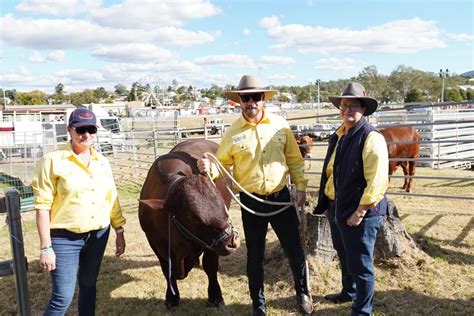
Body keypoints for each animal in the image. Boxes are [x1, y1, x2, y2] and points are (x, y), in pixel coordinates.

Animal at [139, 140, 239, 308]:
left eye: (222, 204)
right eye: (194, 217)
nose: (231, 242)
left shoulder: (210, 243)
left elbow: (210, 267)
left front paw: (215, 297)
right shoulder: (153, 241)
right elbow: (166, 270)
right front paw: (172, 297)